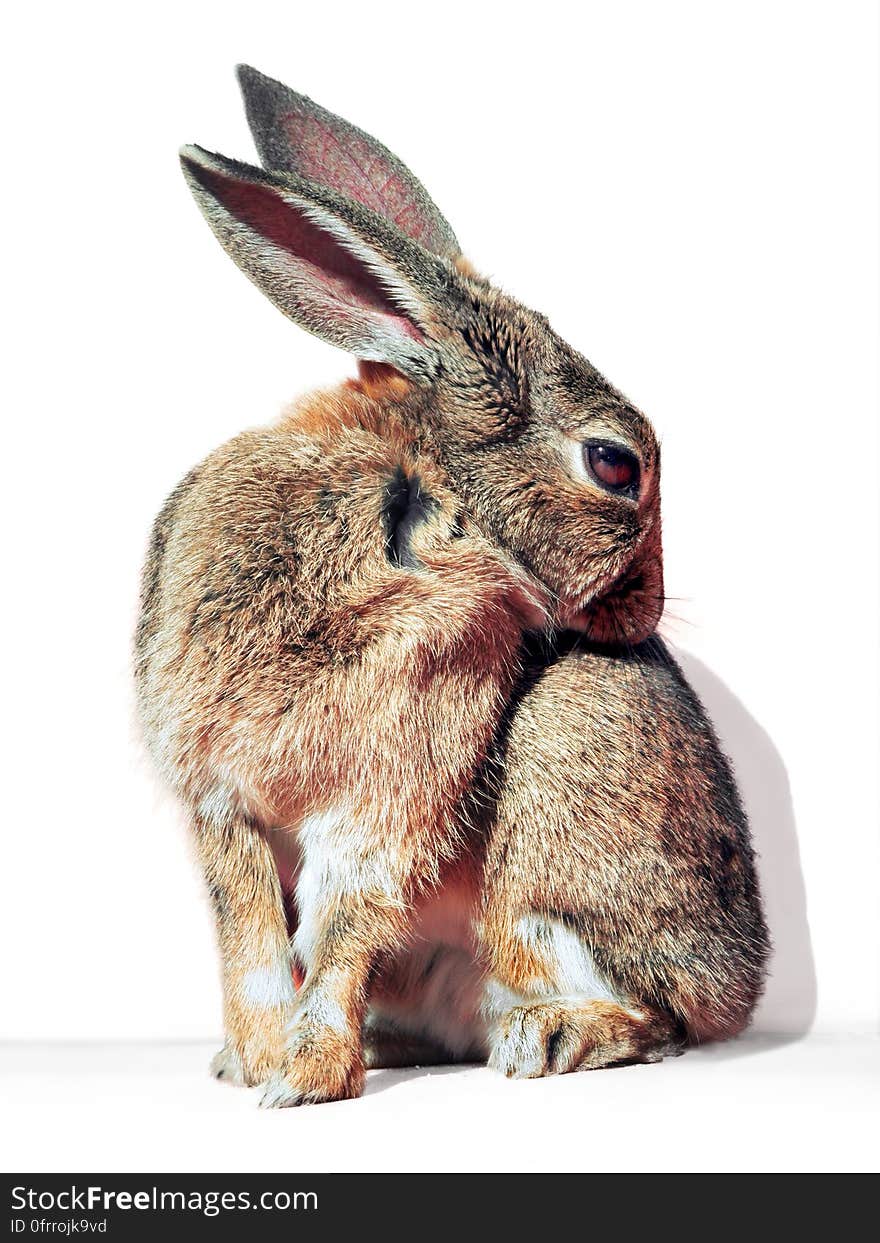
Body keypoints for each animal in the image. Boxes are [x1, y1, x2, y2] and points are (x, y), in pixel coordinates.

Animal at [134, 65, 765, 1108]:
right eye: (616, 465)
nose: (646, 607)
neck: (429, 492)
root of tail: (742, 989)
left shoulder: (396, 775)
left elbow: (342, 923)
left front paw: (302, 1077)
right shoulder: (222, 799)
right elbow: (252, 941)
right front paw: (259, 1064)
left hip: (556, 801)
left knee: (657, 1016)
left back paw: (550, 1034)